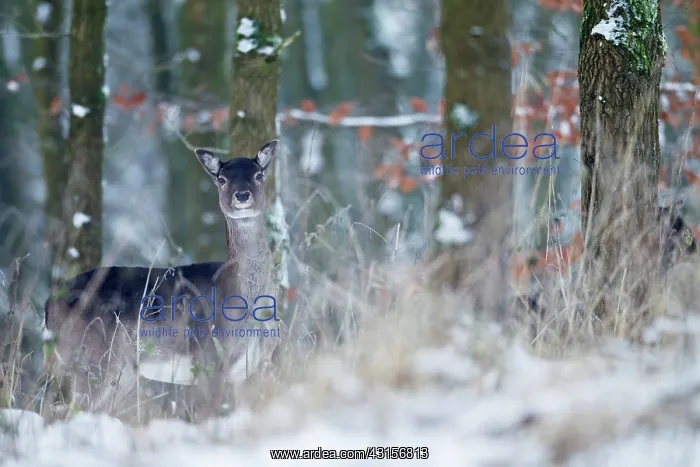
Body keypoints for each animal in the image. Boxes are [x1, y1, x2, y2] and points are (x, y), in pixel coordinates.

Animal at [43, 139, 281, 417]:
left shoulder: (253, 367)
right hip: (90, 358)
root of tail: (48, 305)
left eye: (259, 175)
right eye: (222, 179)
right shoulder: (207, 358)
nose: (242, 195)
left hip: (118, 372)